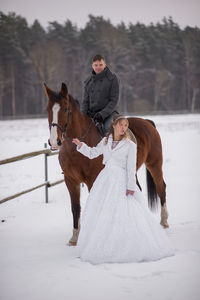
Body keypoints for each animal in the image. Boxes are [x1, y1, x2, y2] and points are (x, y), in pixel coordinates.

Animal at [44, 82, 169, 246]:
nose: (54, 142)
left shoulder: (93, 180)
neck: (76, 150)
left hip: (154, 164)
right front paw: (75, 237)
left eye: (65, 109)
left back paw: (164, 222)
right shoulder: (70, 180)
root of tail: (147, 122)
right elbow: (75, 208)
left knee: (161, 187)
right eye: (48, 110)